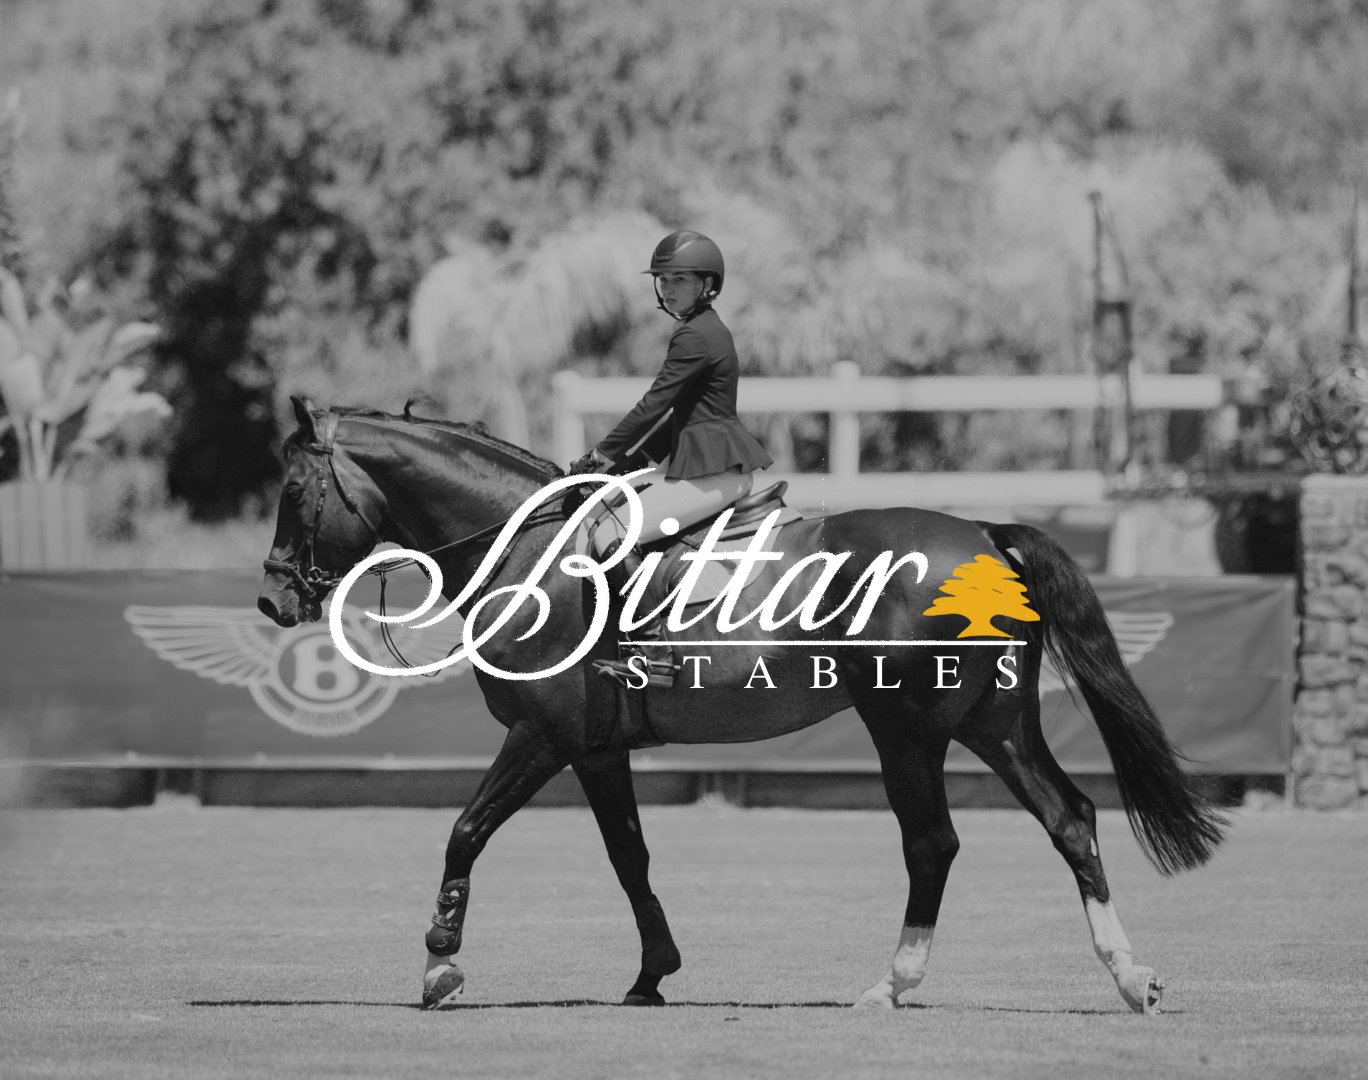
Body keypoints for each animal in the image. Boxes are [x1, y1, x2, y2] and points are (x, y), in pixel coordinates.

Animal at [257, 397, 1225, 1013]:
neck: (528, 547)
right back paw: (1128, 977)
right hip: (993, 724)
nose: (271, 601)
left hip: (908, 728)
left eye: (294, 492)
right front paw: (653, 974)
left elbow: (464, 832)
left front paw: (440, 966)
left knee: (934, 844)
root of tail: (984, 534)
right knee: (1069, 820)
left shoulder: (542, 734)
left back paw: (895, 984)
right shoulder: (596, 747)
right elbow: (630, 857)